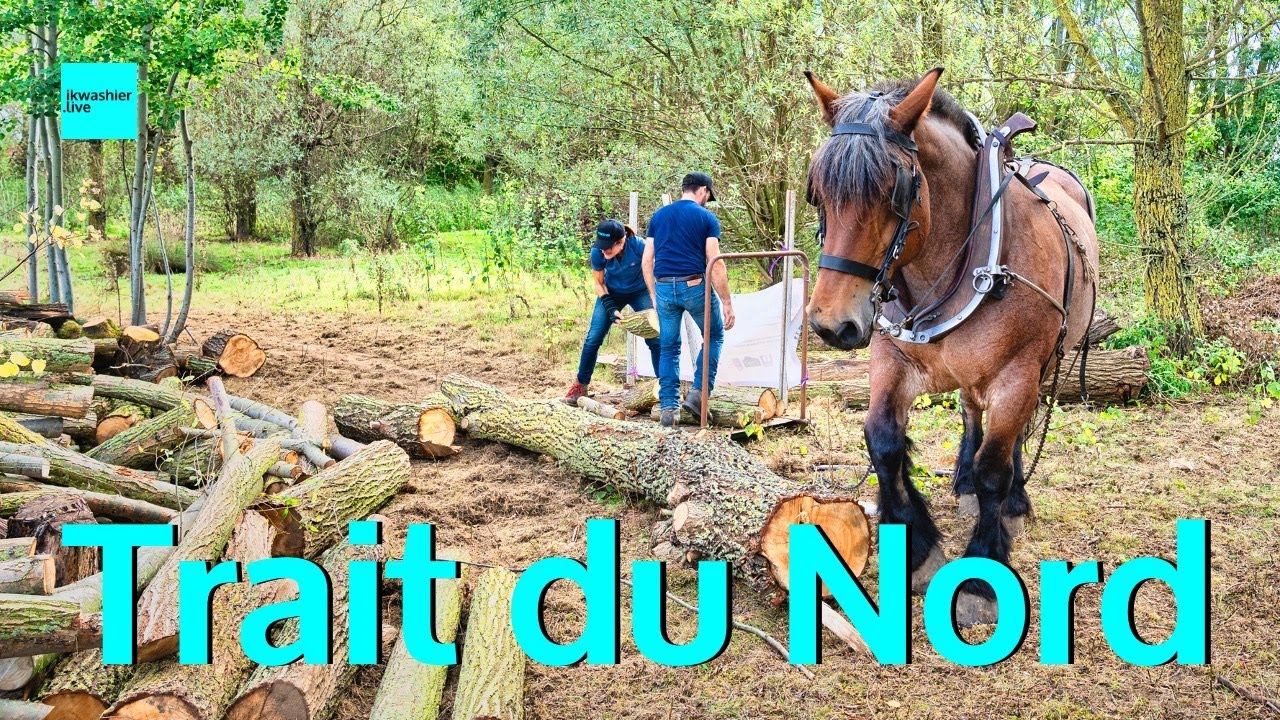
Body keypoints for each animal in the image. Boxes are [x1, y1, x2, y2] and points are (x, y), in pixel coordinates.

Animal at [802, 68, 1099, 626]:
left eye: (894, 190)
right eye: (817, 192)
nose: (833, 325)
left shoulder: (1017, 372)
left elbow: (994, 469)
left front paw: (982, 576)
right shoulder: (892, 357)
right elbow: (883, 440)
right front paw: (918, 550)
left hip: (1045, 361)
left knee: (1013, 434)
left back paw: (1014, 501)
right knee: (970, 410)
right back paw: (962, 481)